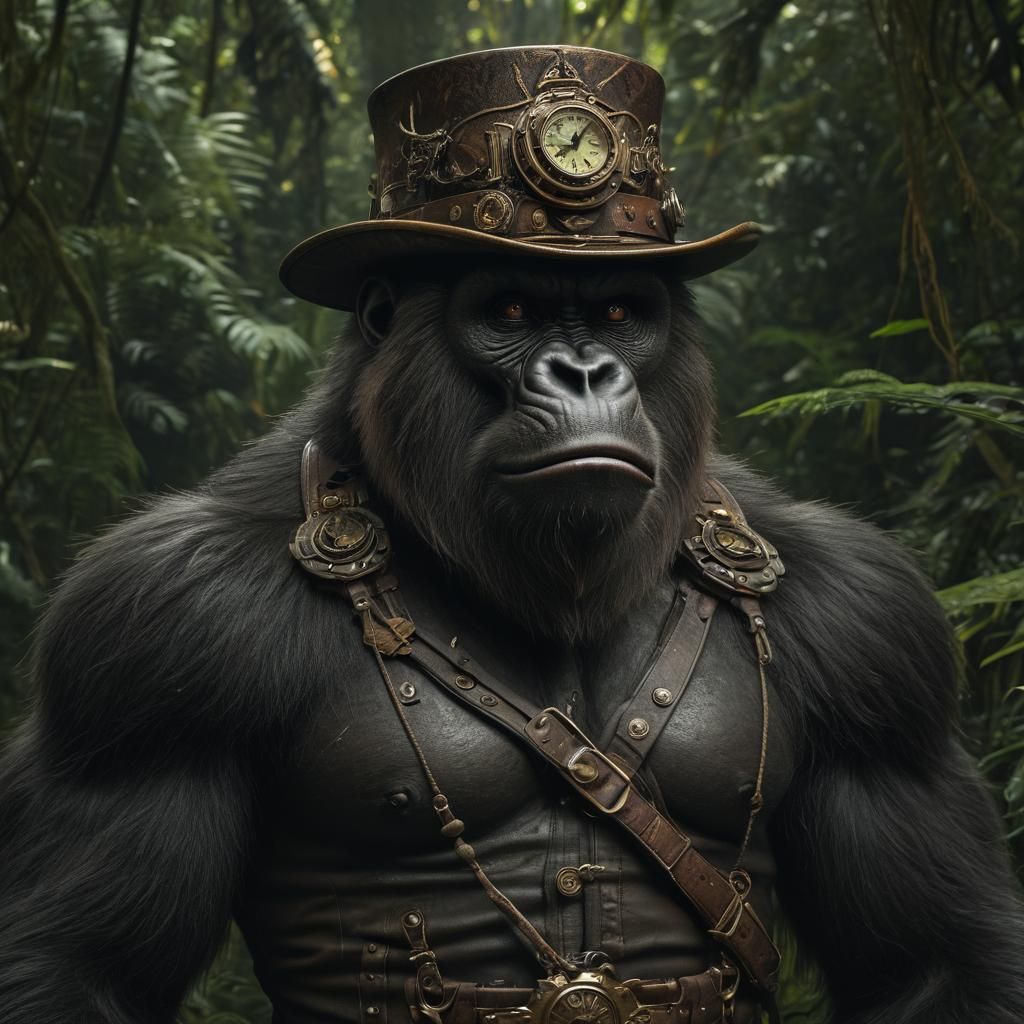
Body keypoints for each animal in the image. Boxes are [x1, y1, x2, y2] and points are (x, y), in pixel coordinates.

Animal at [0, 258, 1022, 1024]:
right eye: (513, 310)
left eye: (619, 313)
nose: (586, 372)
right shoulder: (154, 624)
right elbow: (77, 968)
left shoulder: (874, 626)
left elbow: (936, 961)